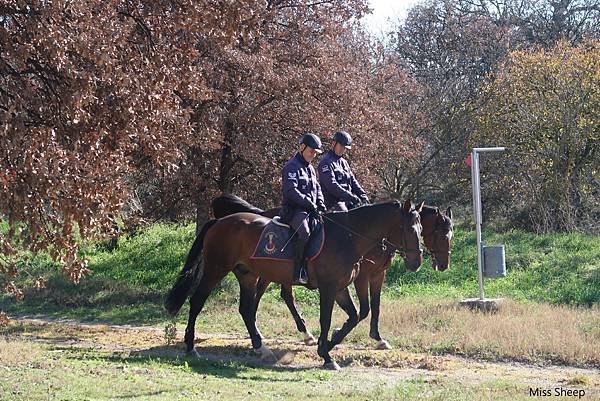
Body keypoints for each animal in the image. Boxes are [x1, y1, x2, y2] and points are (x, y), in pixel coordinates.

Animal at [164, 200, 422, 368]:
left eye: (421, 229)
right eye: (410, 228)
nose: (416, 262)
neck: (347, 237)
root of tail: (219, 222)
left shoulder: (340, 288)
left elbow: (353, 316)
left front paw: (328, 344)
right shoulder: (329, 288)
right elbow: (328, 320)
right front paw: (327, 356)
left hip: (248, 275)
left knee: (246, 309)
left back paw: (261, 347)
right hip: (216, 270)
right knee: (197, 301)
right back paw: (190, 346)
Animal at [210, 193, 450, 346]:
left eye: (422, 229)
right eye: (440, 233)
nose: (442, 264)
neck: (359, 234)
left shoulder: (377, 275)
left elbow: (375, 306)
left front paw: (377, 337)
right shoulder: (361, 277)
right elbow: (364, 309)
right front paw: (338, 337)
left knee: (283, 294)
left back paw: (299, 333)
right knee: (266, 294)